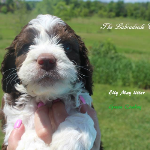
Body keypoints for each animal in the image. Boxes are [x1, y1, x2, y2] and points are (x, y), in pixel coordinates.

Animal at [0, 14, 102, 150]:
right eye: (26, 47)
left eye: (67, 47)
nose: (46, 61)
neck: (48, 97)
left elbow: (83, 117)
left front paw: (69, 139)